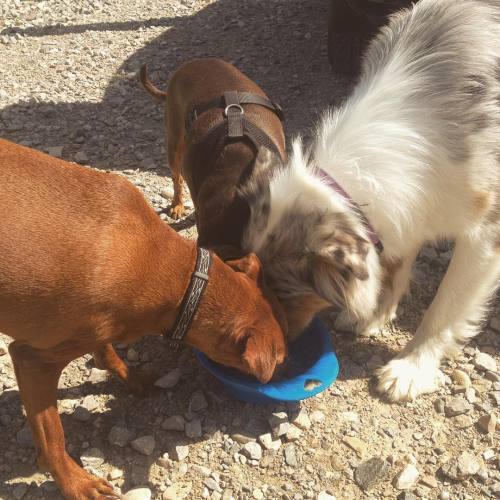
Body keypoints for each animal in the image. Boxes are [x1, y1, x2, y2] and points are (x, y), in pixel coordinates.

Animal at [0, 139, 286, 500]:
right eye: (280, 360)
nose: (285, 376)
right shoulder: (32, 359)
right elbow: (53, 440)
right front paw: (75, 483)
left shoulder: (97, 330)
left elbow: (106, 353)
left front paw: (131, 378)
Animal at [242, 0, 500, 400]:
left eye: (286, 293)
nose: (281, 350)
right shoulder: (410, 209)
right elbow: (395, 263)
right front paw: (375, 313)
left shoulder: (484, 235)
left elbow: (445, 306)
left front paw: (411, 368)